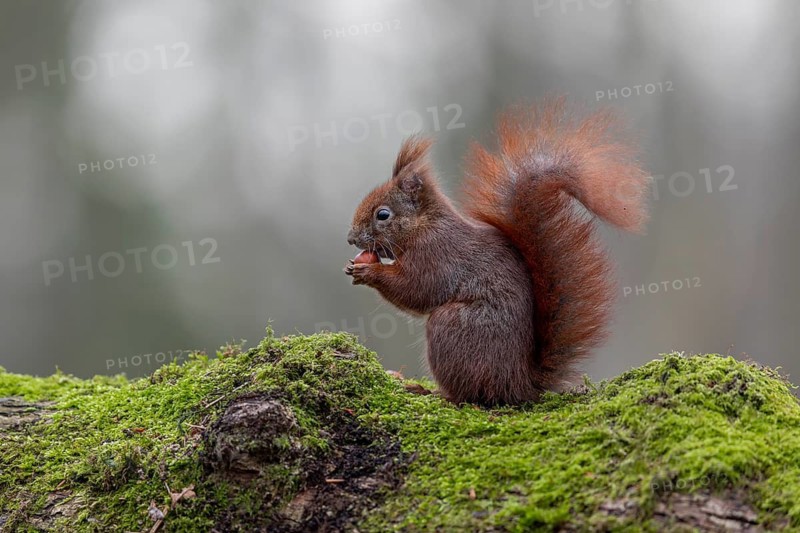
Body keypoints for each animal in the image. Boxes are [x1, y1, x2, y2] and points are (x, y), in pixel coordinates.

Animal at [344, 99, 649, 406]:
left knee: (468, 394)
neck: (424, 225)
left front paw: (369, 272)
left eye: (383, 214)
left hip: (452, 328)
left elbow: (419, 289)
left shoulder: (437, 254)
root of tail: (519, 384)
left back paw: (433, 392)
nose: (350, 239)